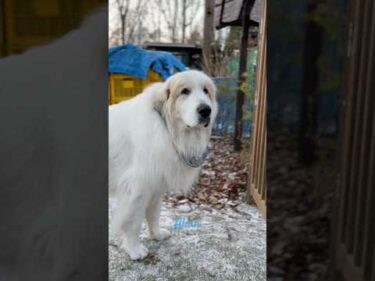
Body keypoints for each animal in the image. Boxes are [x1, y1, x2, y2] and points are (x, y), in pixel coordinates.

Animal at [108, 69, 219, 258]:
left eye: (206, 91)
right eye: (185, 91)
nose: (206, 110)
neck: (166, 127)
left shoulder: (155, 186)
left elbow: (154, 214)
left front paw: (157, 235)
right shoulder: (137, 189)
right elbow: (133, 223)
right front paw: (134, 249)